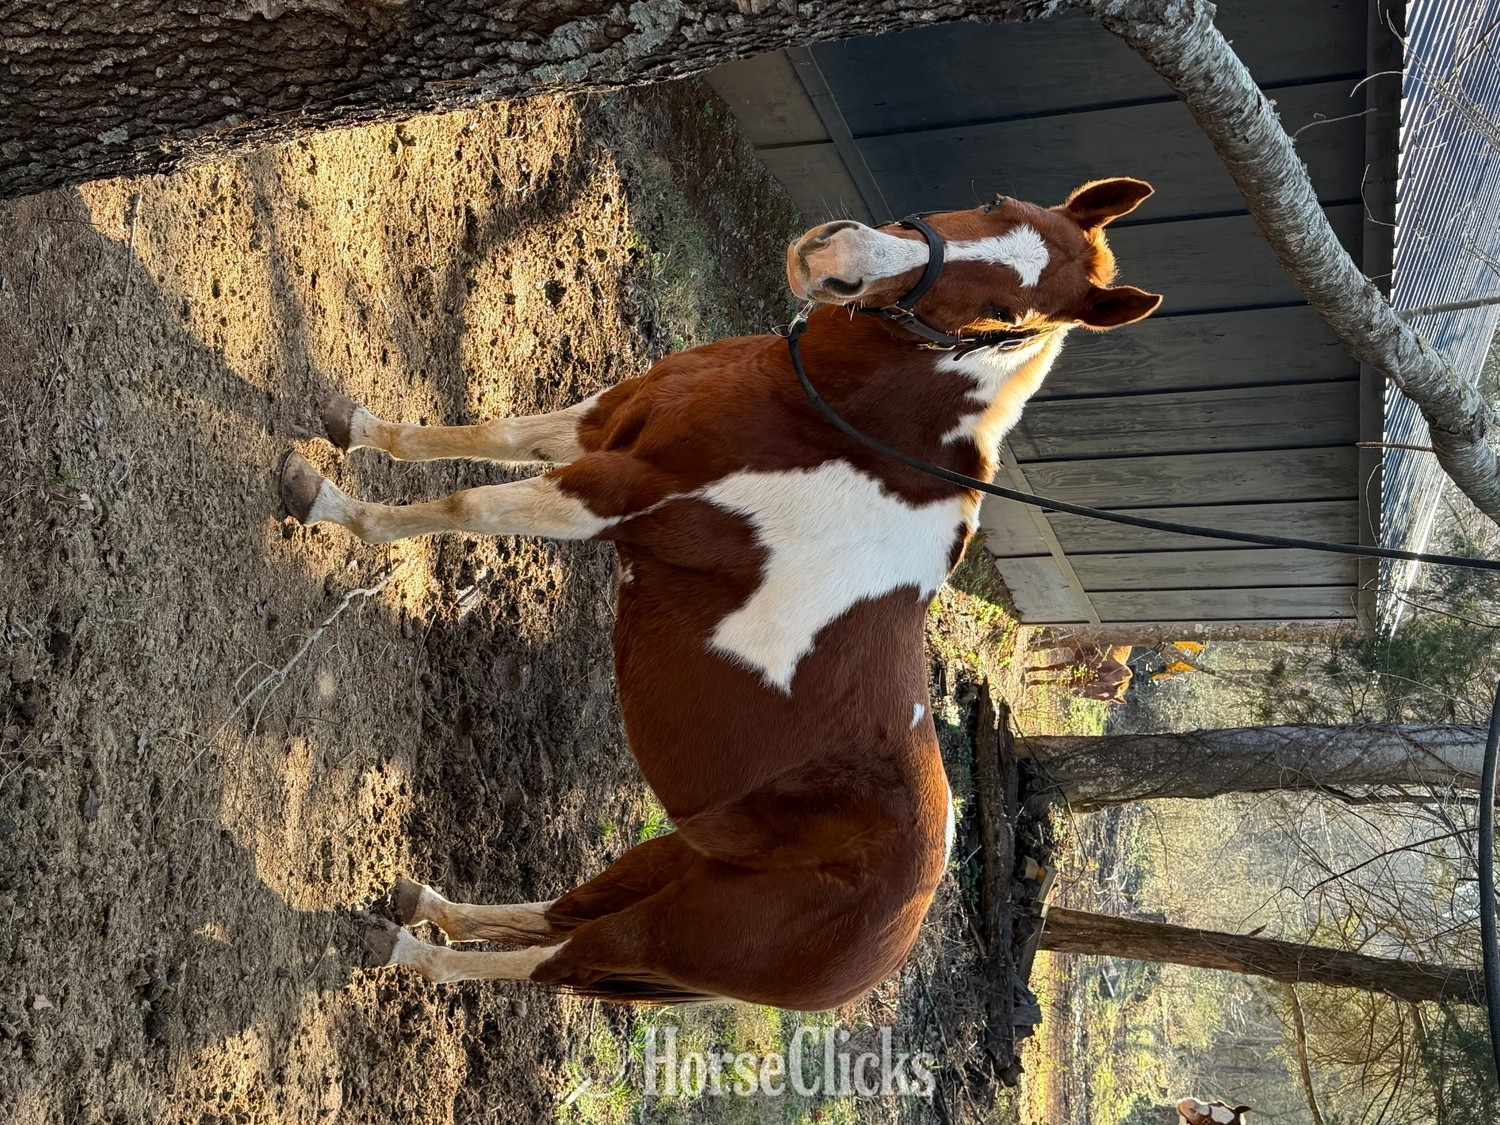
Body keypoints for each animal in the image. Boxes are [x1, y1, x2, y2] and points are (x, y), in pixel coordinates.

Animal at [277, 178, 1162, 1009]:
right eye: (994, 201)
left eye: (1003, 312)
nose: (836, 259)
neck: (837, 427)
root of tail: (892, 943)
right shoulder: (605, 421)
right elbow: (479, 436)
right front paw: (353, 425)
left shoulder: (615, 493)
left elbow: (464, 505)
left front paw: (330, 504)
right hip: (675, 857)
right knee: (557, 916)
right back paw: (424, 901)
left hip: (670, 933)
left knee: (553, 959)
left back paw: (403, 946)